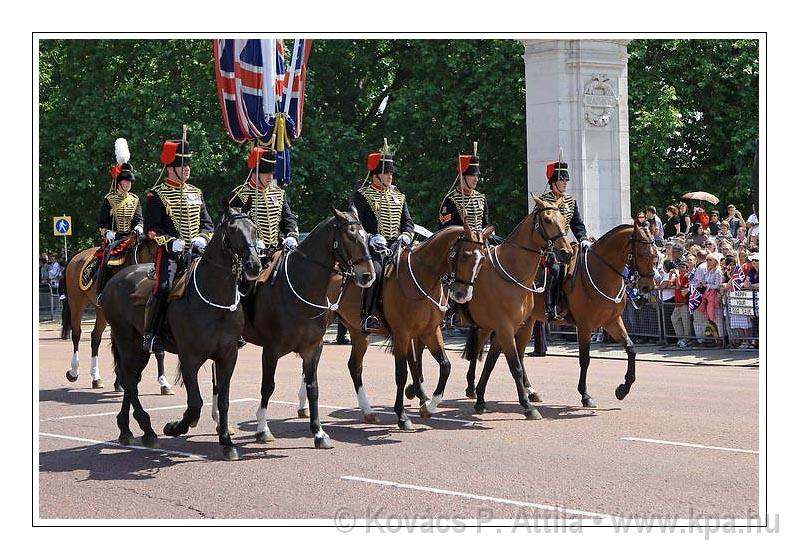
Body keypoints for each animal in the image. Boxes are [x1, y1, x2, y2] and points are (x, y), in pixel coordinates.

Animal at [63, 236, 173, 394]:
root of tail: (78, 255)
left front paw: (163, 383)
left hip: (101, 311)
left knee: (95, 337)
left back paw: (96, 377)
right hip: (76, 301)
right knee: (76, 334)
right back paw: (73, 371)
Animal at [100, 206, 262, 460]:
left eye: (254, 228)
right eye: (232, 231)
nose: (254, 265)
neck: (215, 298)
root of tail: (114, 280)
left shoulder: (228, 356)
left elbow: (223, 401)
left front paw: (226, 442)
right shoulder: (189, 358)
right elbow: (195, 403)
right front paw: (175, 427)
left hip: (140, 348)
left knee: (131, 379)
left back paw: (127, 429)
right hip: (126, 340)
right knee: (128, 379)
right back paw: (147, 428)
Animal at [234, 210, 378, 450]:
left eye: (366, 236)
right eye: (349, 236)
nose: (368, 276)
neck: (301, 288)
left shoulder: (313, 348)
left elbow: (313, 388)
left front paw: (319, 433)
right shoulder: (270, 350)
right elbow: (267, 386)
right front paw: (263, 429)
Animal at [304, 223, 494, 428]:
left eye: (483, 259)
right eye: (464, 255)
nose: (462, 294)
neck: (422, 278)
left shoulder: (430, 331)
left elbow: (445, 366)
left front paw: (429, 407)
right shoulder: (402, 334)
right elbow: (402, 372)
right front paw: (402, 415)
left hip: (358, 332)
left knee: (354, 366)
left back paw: (367, 411)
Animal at [462, 223, 656, 412]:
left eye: (655, 255)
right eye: (641, 254)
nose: (648, 287)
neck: (601, 272)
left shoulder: (612, 321)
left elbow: (631, 349)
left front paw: (623, 389)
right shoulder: (584, 325)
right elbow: (585, 359)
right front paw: (585, 395)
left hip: (526, 322)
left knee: (519, 354)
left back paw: (530, 391)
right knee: (478, 344)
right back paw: (472, 387)